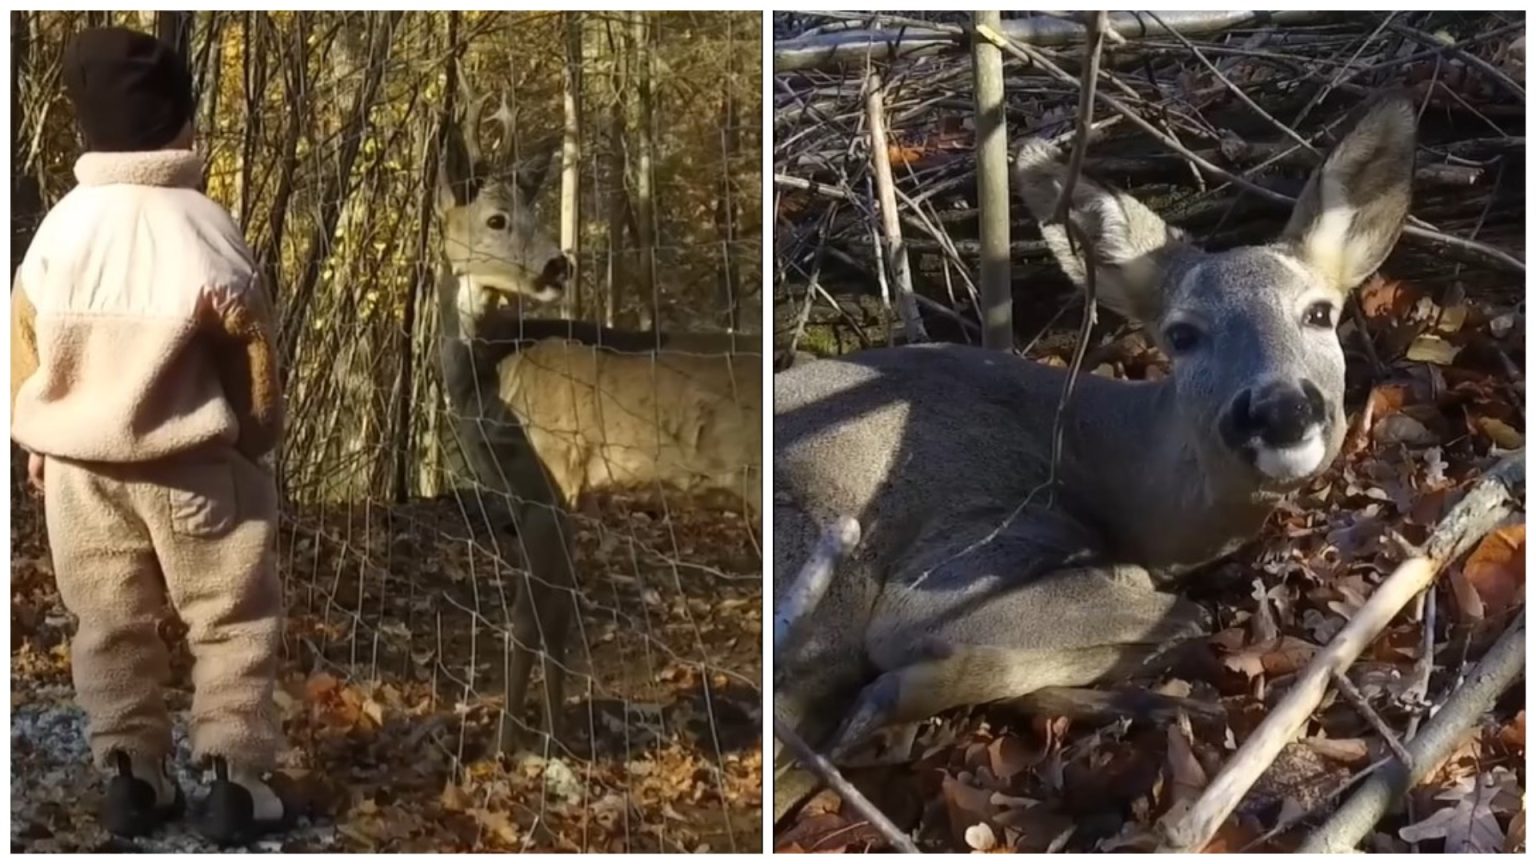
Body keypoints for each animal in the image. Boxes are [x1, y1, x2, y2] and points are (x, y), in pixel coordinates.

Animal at [430, 84, 764, 747]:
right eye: (497, 218)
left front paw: (510, 745)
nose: (557, 266)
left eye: (536, 212)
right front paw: (556, 736)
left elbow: (528, 619)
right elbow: (559, 615)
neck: (491, 370)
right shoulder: (556, 494)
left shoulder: (555, 471)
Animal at [768, 94, 1413, 811]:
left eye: (1320, 313)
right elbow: (1180, 612)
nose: (1280, 408)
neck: (1107, 465)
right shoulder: (959, 557)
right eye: (1182, 334)